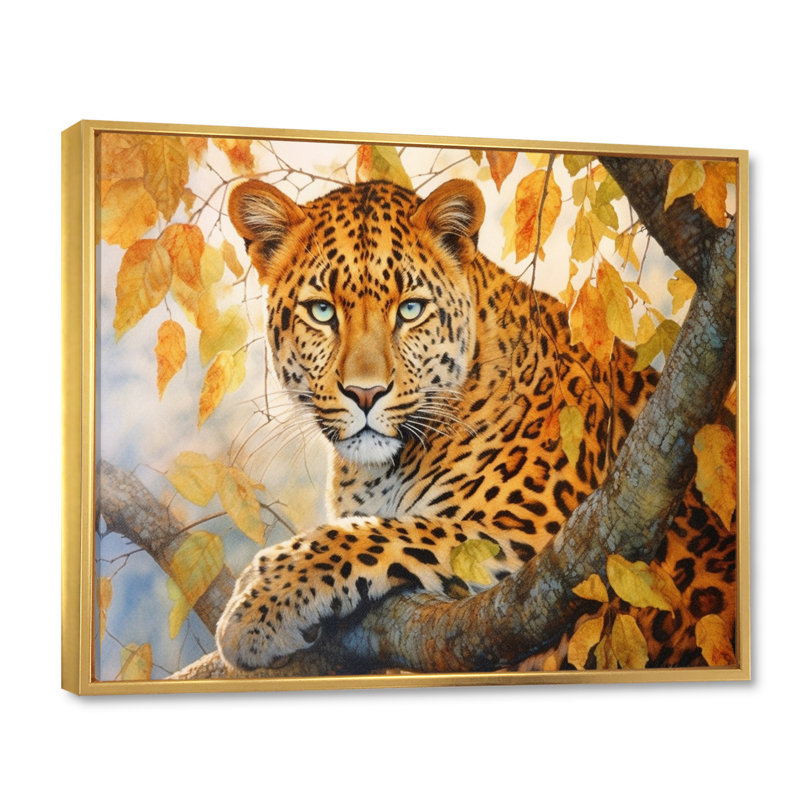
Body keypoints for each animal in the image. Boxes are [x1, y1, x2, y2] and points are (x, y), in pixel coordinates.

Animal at [216, 176, 737, 672]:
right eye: (322, 311)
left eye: (410, 309)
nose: (366, 394)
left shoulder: (543, 539)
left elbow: (380, 534)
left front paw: (255, 605)